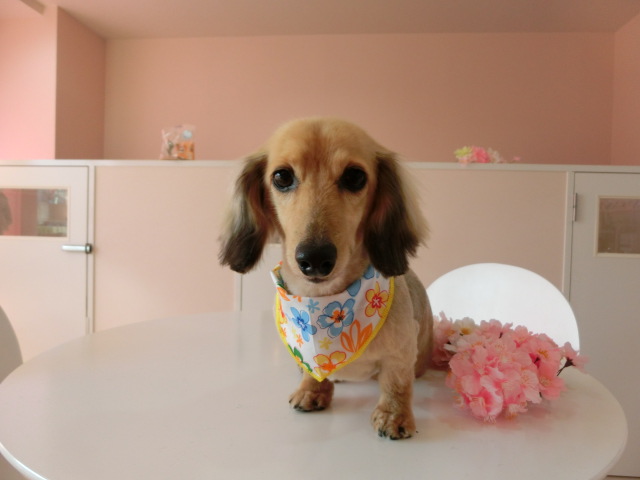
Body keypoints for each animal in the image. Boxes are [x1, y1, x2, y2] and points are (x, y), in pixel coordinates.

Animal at [219, 118, 433, 439]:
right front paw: (312, 390)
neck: (324, 304)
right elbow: (311, 370)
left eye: (355, 176)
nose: (315, 259)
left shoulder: (402, 350)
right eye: (282, 176)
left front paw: (394, 415)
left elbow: (396, 382)